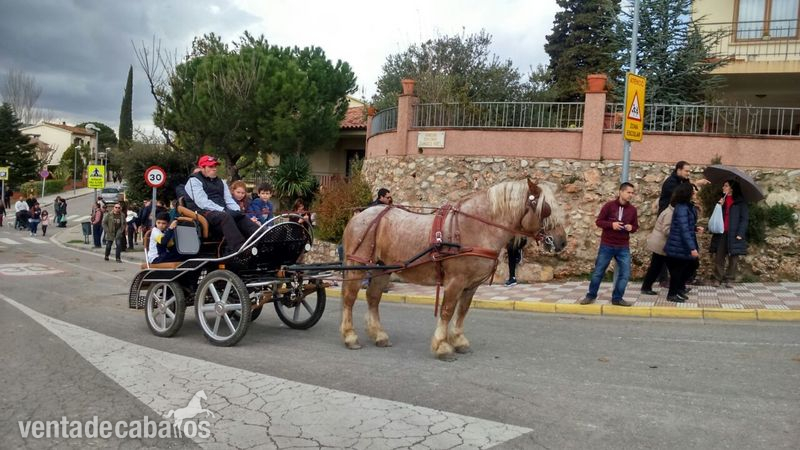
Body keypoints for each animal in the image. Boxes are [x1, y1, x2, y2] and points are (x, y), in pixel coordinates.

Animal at [340, 178, 567, 360]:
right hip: (357, 265)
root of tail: (359, 215)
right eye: (546, 209)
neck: (475, 228)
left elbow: (463, 310)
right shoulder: (455, 281)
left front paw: (459, 341)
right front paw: (442, 346)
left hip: (381, 269)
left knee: (373, 298)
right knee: (350, 299)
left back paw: (379, 334)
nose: (561, 242)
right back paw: (350, 336)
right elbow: (447, 310)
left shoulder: (471, 284)